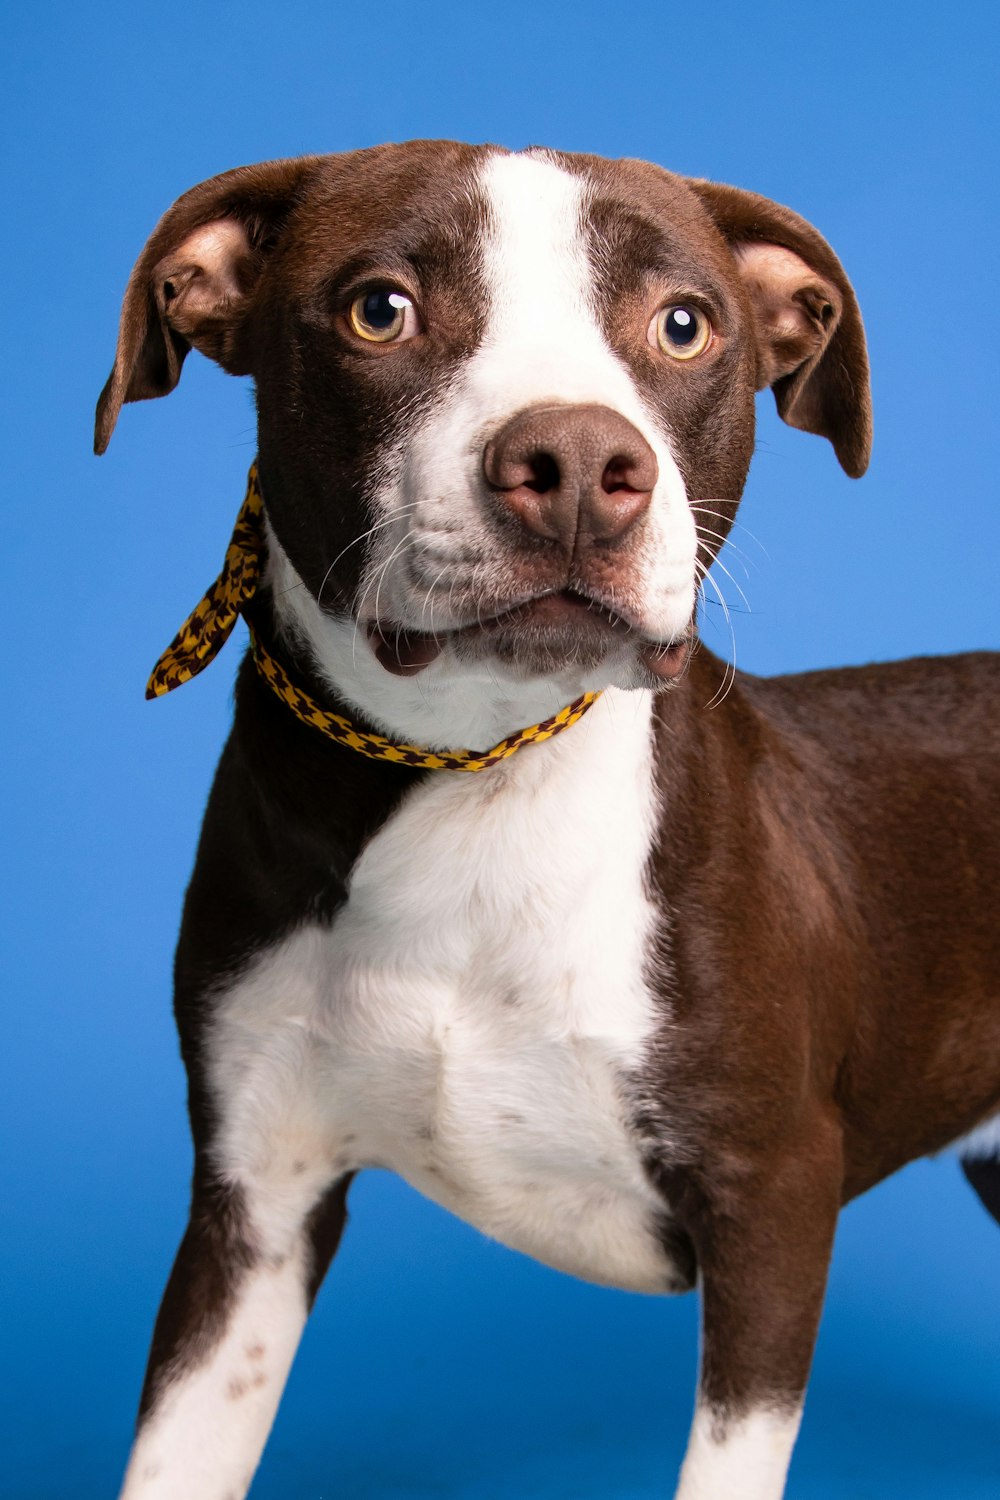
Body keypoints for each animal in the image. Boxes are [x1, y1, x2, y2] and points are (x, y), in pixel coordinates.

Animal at [93, 141, 1000, 1500]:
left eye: (683, 324)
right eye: (380, 309)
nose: (577, 463)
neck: (478, 781)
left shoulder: (774, 1204)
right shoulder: (252, 1205)